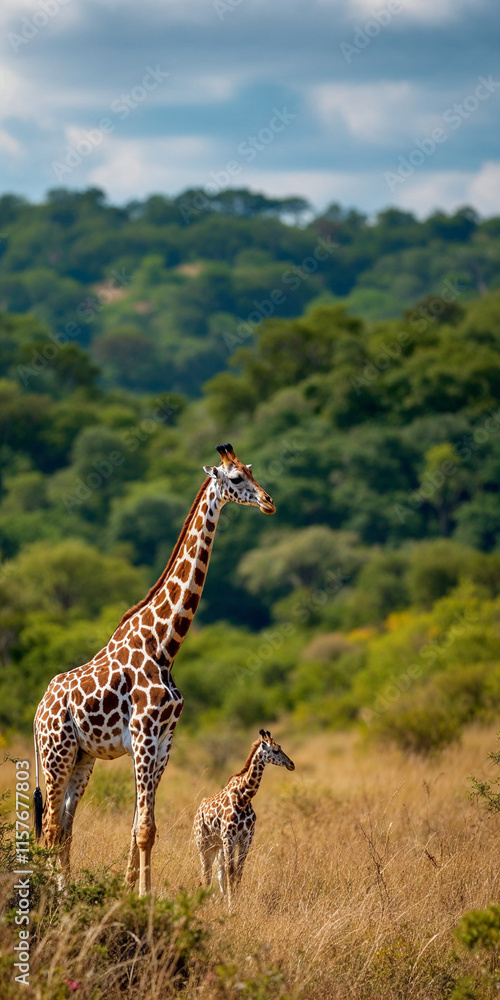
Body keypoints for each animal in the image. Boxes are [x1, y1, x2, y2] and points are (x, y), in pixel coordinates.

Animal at [33, 443, 275, 896]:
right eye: (235, 478)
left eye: (252, 470)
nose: (269, 502)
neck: (165, 646)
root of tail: (38, 710)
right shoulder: (144, 734)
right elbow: (145, 828)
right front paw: (144, 898)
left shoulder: (164, 740)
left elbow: (138, 827)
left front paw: (130, 890)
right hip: (55, 753)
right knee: (52, 827)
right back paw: (54, 895)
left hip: (82, 758)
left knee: (66, 827)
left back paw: (66, 890)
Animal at [193, 729, 294, 908]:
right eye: (275, 750)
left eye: (280, 747)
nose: (291, 764)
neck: (244, 797)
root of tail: (198, 810)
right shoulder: (229, 837)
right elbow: (231, 871)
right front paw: (231, 905)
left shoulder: (246, 838)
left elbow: (238, 872)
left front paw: (235, 900)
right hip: (203, 843)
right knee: (206, 873)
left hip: (217, 845)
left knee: (217, 872)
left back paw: (219, 898)